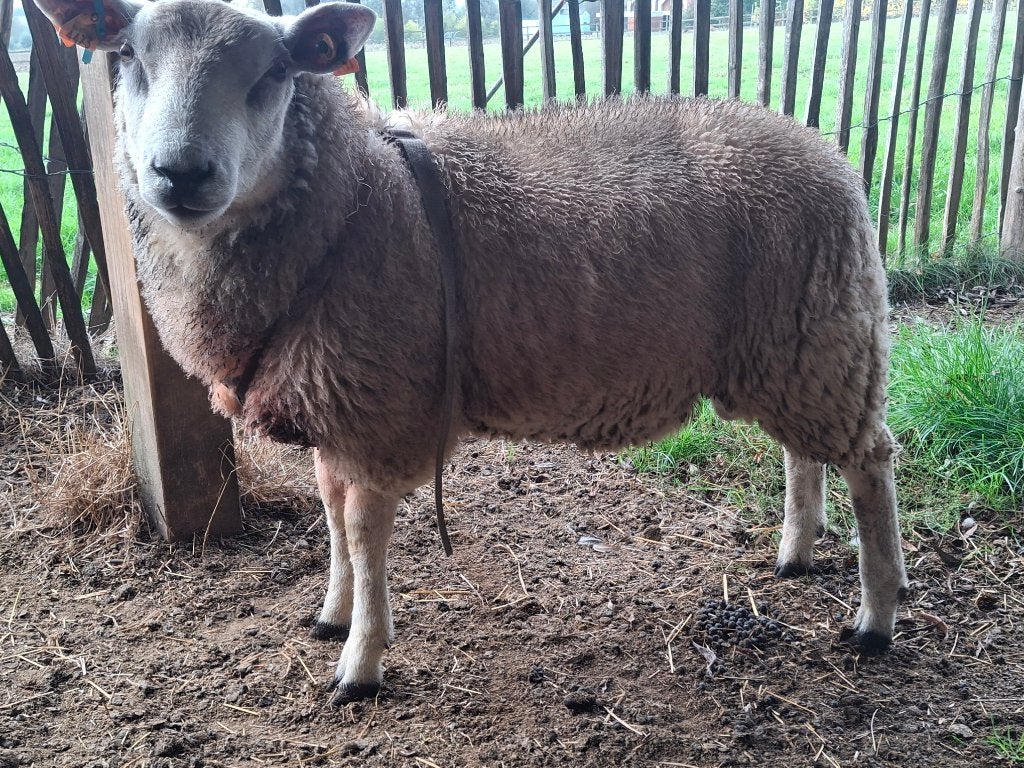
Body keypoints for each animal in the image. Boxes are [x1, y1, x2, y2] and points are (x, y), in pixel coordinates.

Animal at [34, 0, 909, 702]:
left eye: (277, 71)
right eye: (127, 56)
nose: (180, 173)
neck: (353, 199)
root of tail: (824, 149)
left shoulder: (380, 411)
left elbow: (363, 535)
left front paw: (361, 663)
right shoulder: (334, 401)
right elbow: (330, 513)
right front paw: (334, 614)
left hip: (824, 333)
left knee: (868, 462)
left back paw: (876, 615)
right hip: (791, 347)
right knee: (804, 453)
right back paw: (796, 552)